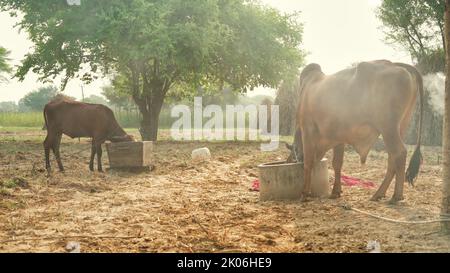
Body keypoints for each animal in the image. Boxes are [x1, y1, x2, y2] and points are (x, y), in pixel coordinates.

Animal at [288, 60, 422, 203]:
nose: (291, 160)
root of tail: (395, 64)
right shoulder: (338, 137)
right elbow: (337, 163)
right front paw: (336, 191)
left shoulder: (307, 129)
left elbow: (309, 162)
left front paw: (304, 194)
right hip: (400, 127)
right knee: (392, 158)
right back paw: (379, 194)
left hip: (388, 128)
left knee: (399, 153)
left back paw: (396, 195)